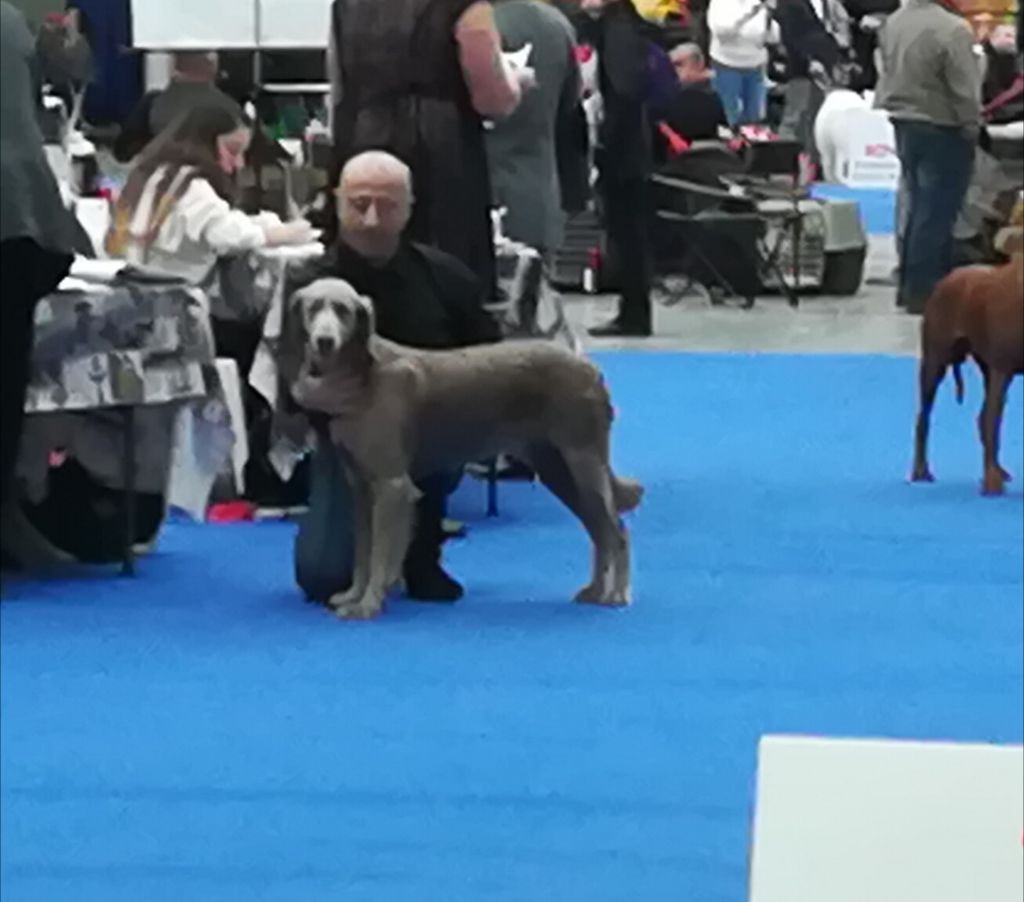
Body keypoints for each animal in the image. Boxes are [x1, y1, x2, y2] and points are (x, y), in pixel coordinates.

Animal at [284, 278, 643, 618]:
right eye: (313, 308)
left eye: (343, 310)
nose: (325, 340)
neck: (363, 376)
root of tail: (589, 368)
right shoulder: (360, 487)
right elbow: (362, 553)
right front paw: (353, 596)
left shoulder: (392, 485)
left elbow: (380, 554)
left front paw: (368, 605)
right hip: (557, 468)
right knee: (599, 530)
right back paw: (594, 591)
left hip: (584, 461)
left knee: (616, 531)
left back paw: (616, 595)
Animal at [913, 221, 1024, 495]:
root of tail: (950, 276)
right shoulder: (1001, 370)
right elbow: (993, 425)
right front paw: (991, 484)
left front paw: (992, 477)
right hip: (935, 362)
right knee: (924, 417)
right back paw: (921, 470)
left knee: (983, 417)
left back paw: (998, 470)